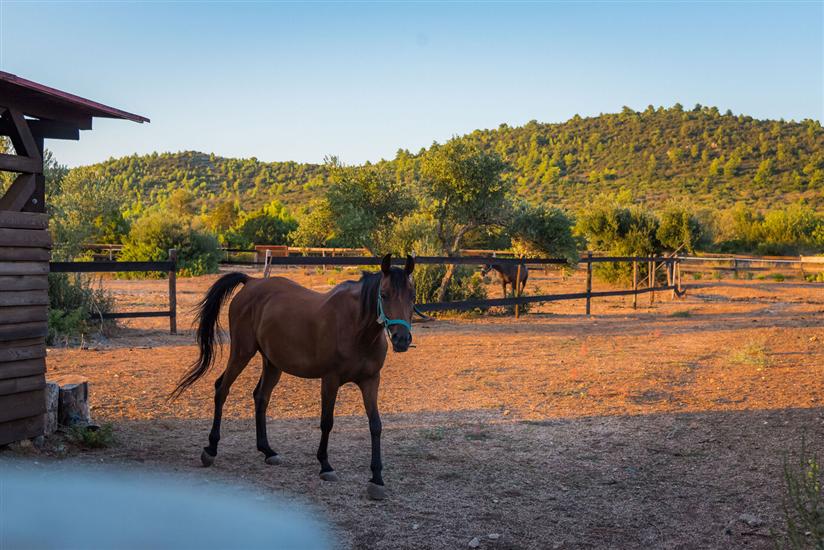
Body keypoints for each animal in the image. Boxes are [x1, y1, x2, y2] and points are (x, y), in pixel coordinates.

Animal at [172, 254, 416, 501]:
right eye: (383, 295)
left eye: (412, 296)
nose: (401, 339)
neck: (356, 329)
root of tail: (251, 282)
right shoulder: (330, 380)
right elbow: (327, 422)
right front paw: (325, 465)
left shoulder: (370, 381)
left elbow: (375, 425)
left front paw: (377, 479)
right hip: (242, 352)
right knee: (222, 389)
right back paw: (211, 449)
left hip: (272, 363)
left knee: (261, 397)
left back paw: (267, 451)